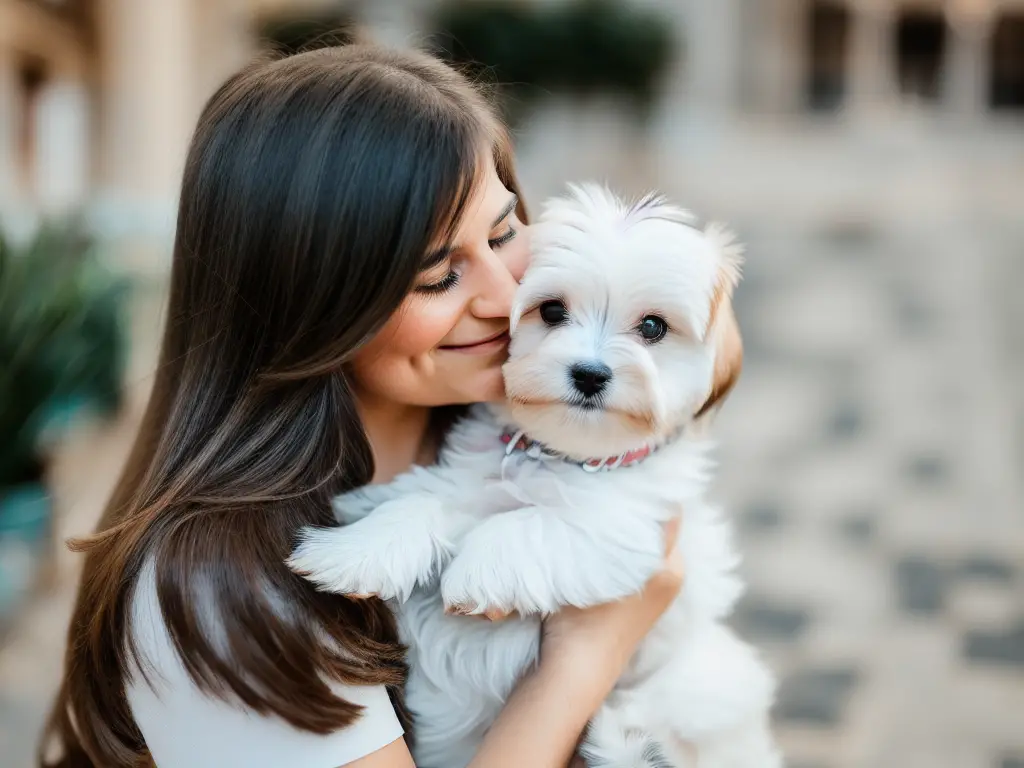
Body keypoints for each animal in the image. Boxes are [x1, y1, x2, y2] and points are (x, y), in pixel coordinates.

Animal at [292, 186, 778, 768]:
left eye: (653, 327)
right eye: (551, 311)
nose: (590, 373)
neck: (560, 453)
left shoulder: (623, 529)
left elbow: (531, 524)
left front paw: (475, 571)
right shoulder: (469, 481)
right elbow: (422, 503)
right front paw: (353, 551)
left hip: (706, 685)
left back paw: (622, 737)